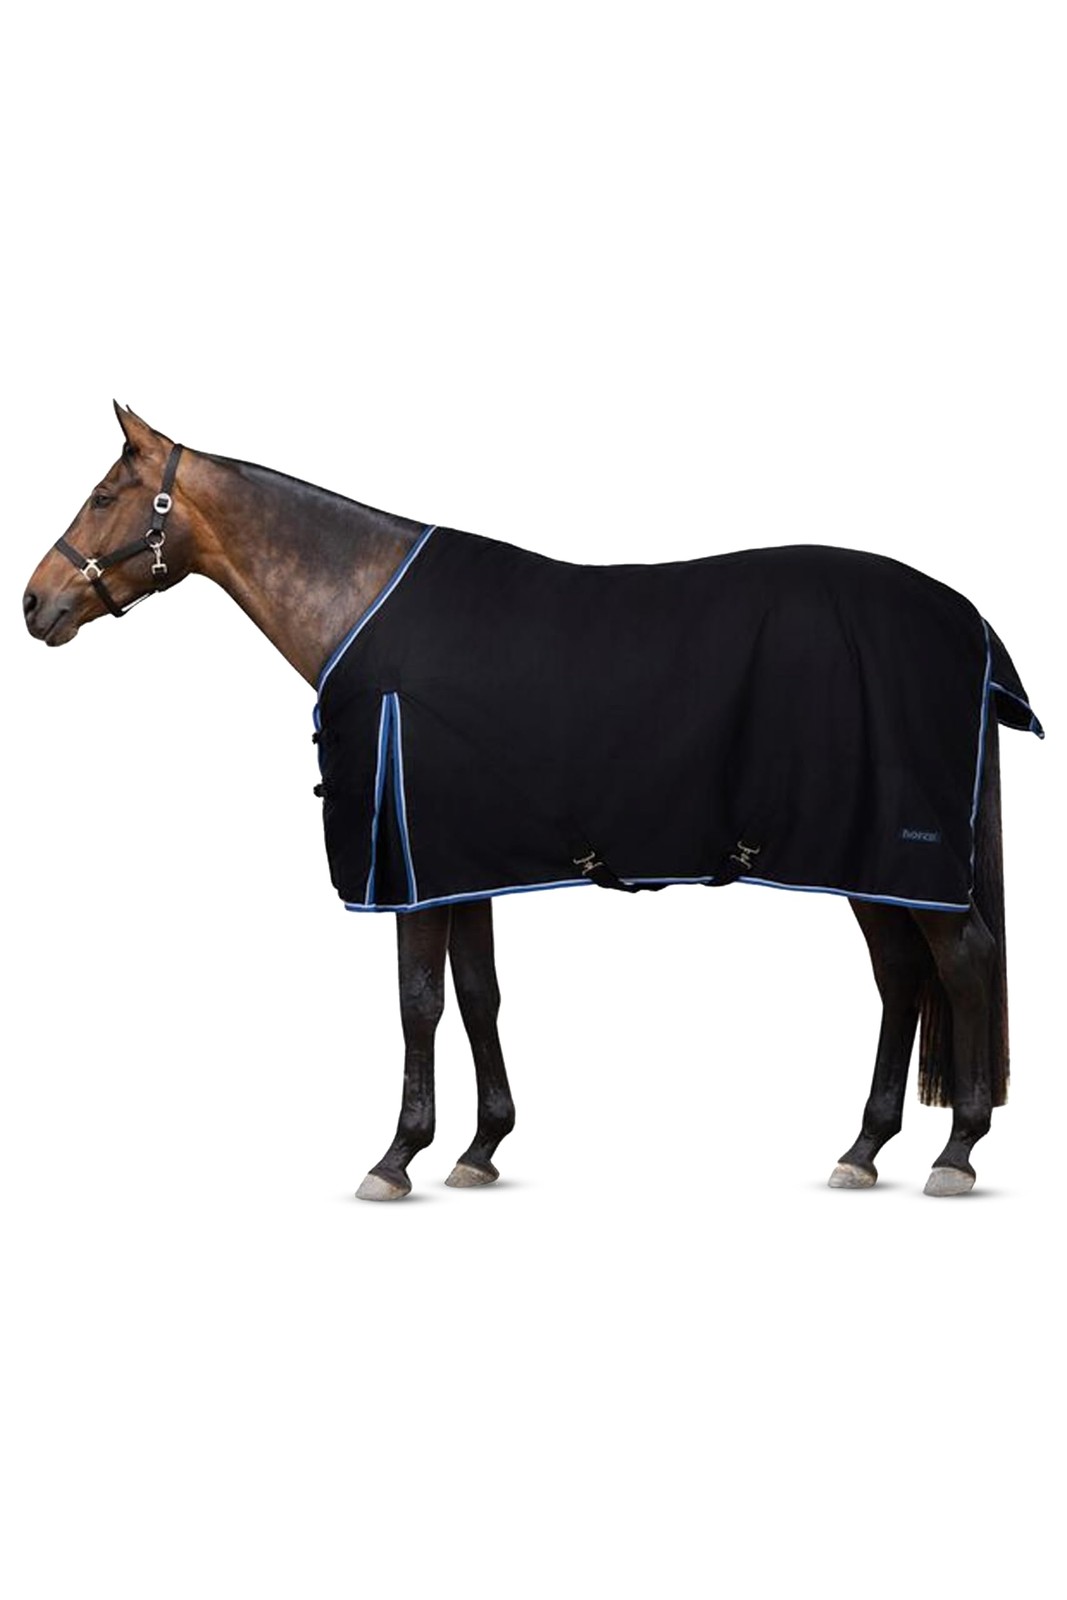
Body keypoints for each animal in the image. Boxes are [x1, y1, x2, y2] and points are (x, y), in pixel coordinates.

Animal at [23, 404, 1042, 1200]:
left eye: (106, 496)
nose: (35, 604)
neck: (362, 605)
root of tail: (965, 620)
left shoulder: (408, 869)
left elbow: (418, 1003)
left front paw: (396, 1156)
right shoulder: (456, 863)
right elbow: (477, 994)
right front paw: (479, 1147)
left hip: (894, 854)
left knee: (961, 962)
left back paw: (956, 1151)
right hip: (864, 859)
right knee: (901, 977)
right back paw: (863, 1148)